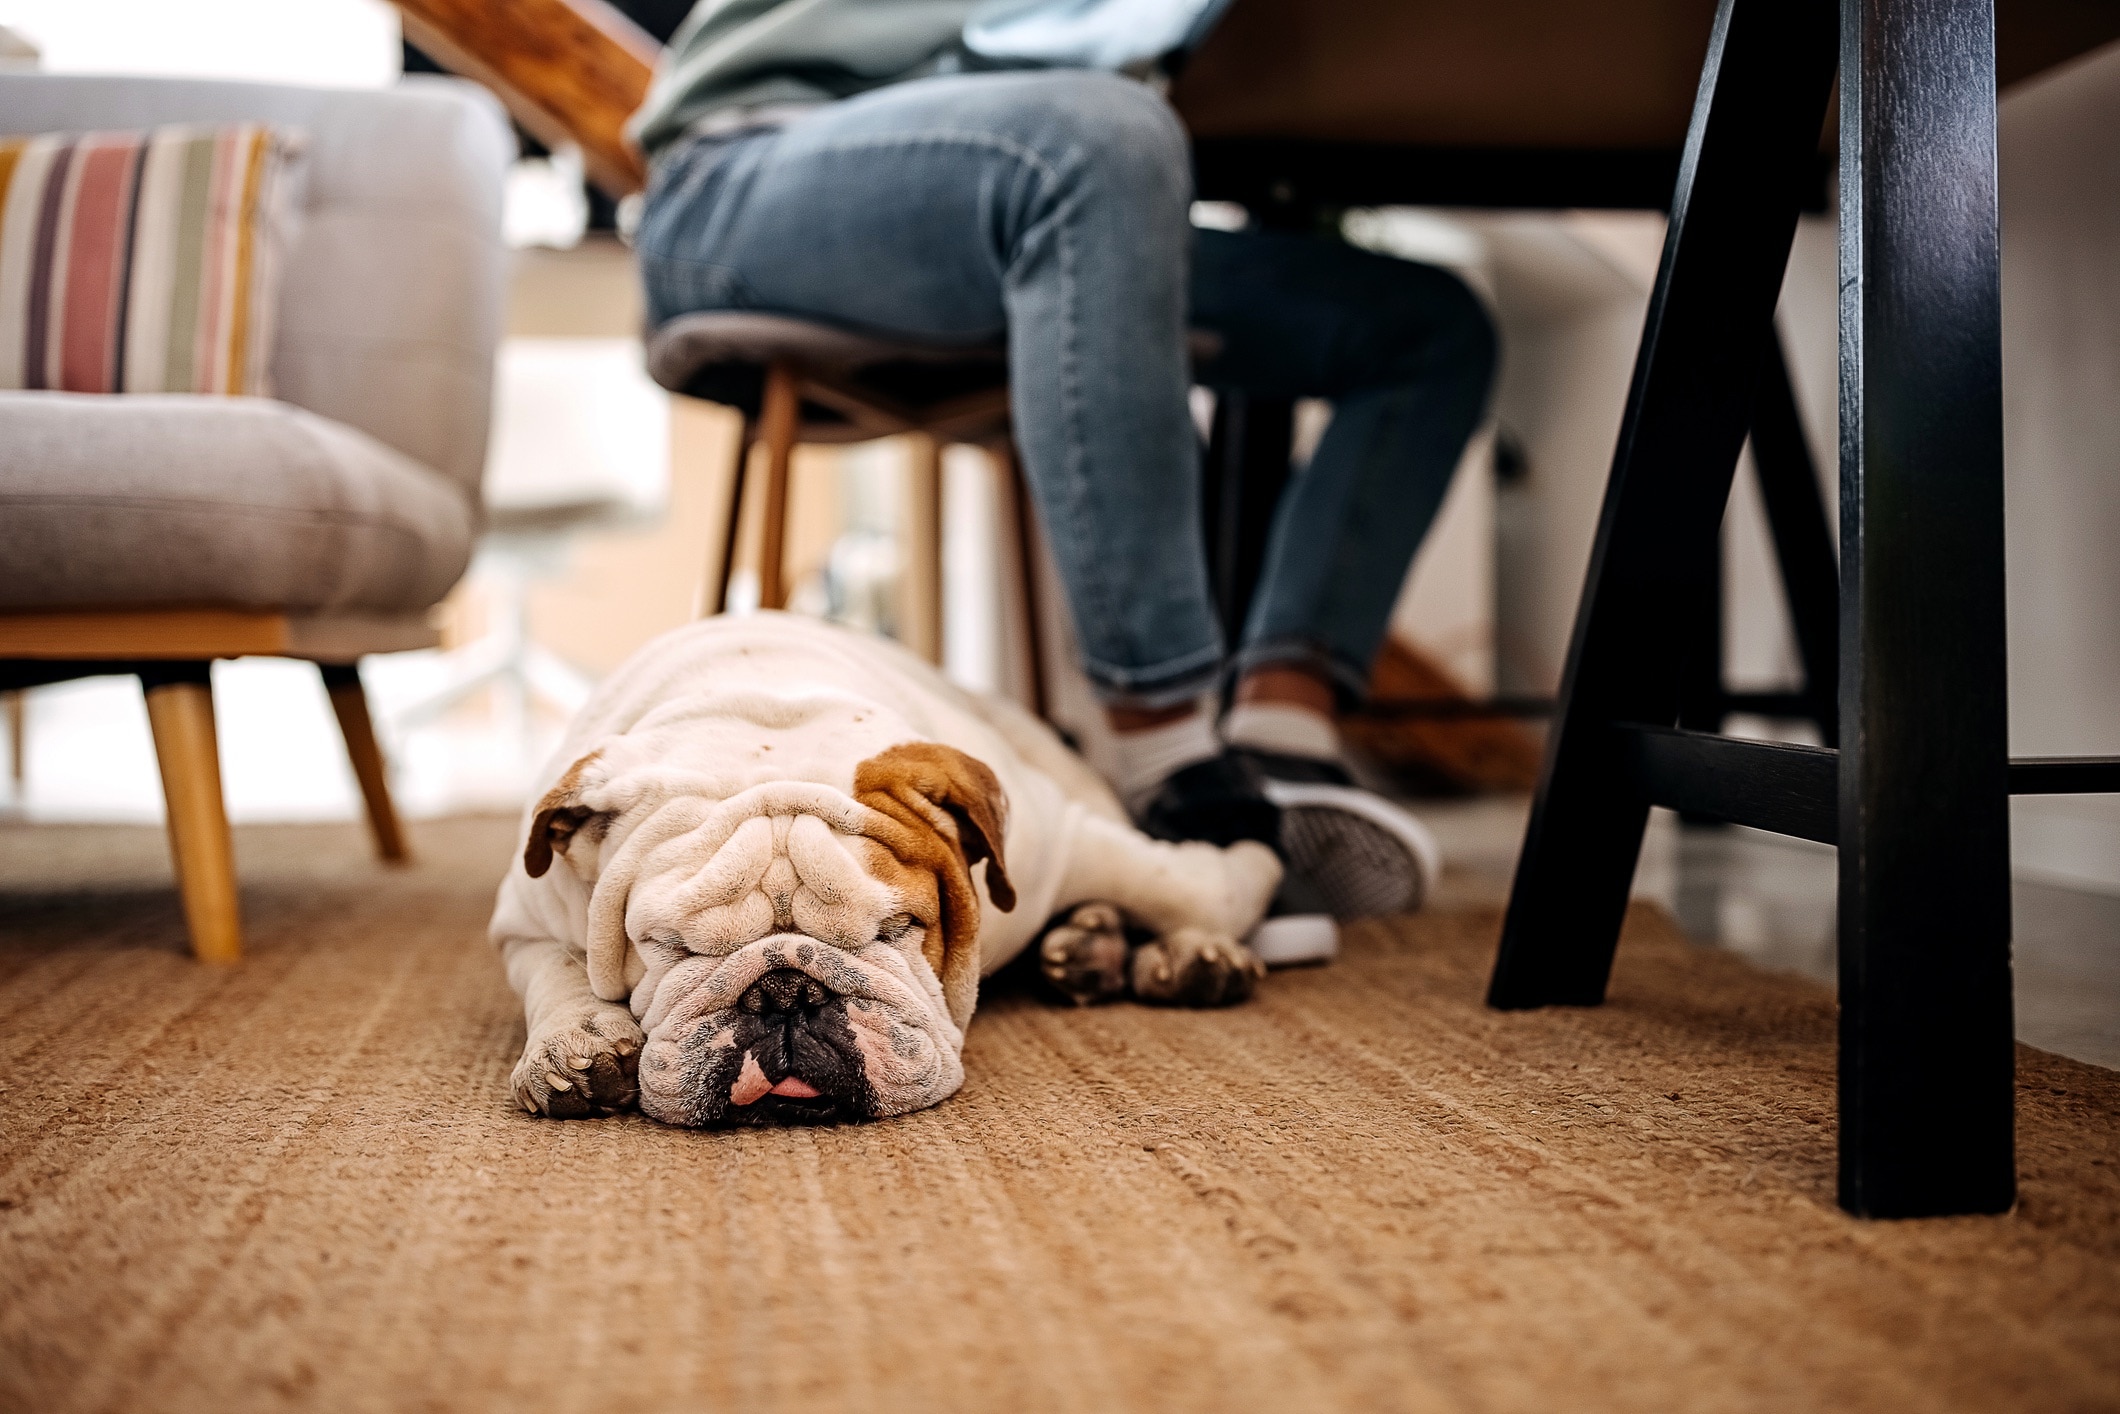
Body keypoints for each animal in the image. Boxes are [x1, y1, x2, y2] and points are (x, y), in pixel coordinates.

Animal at [491, 614, 1271, 1136]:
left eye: (897, 930)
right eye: (669, 947)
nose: (785, 992)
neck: (764, 710)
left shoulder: (1059, 842)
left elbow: (1192, 887)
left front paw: (1256, 867)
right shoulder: (523, 918)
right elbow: (556, 972)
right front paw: (577, 1044)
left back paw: (1165, 955)